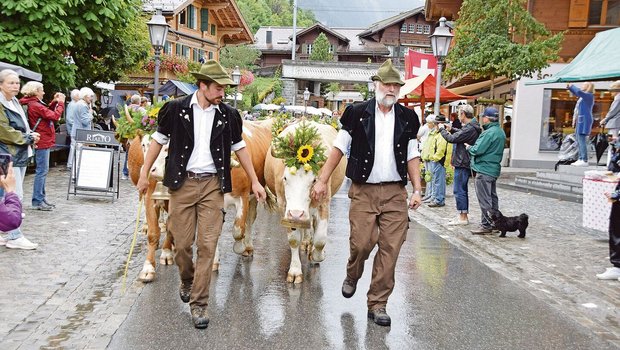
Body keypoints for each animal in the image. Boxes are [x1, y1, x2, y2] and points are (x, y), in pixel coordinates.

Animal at [126, 133, 173, 284]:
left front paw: (166, 252)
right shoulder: (149, 196)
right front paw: (148, 268)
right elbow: (153, 233)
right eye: (144, 145)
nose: (147, 170)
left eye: (167, 147)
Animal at [212, 119, 272, 270]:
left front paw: (240, 248)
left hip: (254, 195)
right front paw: (213, 260)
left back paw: (248, 247)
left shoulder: (242, 197)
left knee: (250, 219)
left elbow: (238, 229)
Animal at [264, 119, 346, 282]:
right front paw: (295, 270)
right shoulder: (285, 209)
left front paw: (316, 255)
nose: (297, 214)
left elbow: (320, 239)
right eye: (285, 178)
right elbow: (293, 239)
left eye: (314, 180)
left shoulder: (323, 204)